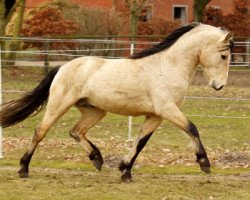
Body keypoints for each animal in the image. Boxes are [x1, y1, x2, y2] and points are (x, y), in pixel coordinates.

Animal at [0, 22, 234, 182]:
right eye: (224, 56)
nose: (219, 86)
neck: (167, 66)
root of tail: (63, 67)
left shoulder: (156, 116)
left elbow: (140, 142)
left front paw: (125, 170)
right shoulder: (168, 110)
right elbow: (192, 128)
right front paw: (204, 163)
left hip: (95, 112)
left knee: (76, 131)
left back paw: (97, 158)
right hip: (59, 105)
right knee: (40, 131)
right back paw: (23, 169)